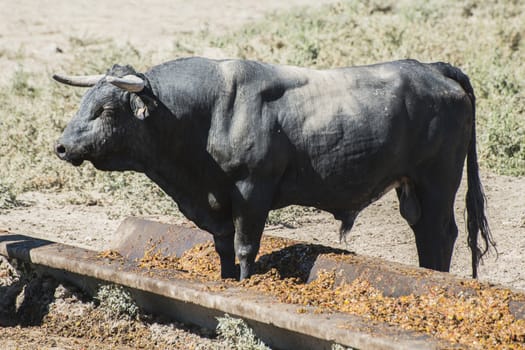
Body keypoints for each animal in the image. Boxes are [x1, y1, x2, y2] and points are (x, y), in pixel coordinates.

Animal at [53, 58, 496, 280]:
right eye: (84, 102)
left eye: (107, 109)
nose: (62, 146)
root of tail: (431, 67)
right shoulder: (217, 202)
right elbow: (224, 248)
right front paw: (225, 280)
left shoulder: (252, 191)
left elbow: (246, 248)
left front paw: (245, 285)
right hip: (413, 189)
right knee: (425, 233)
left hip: (438, 181)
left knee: (442, 233)